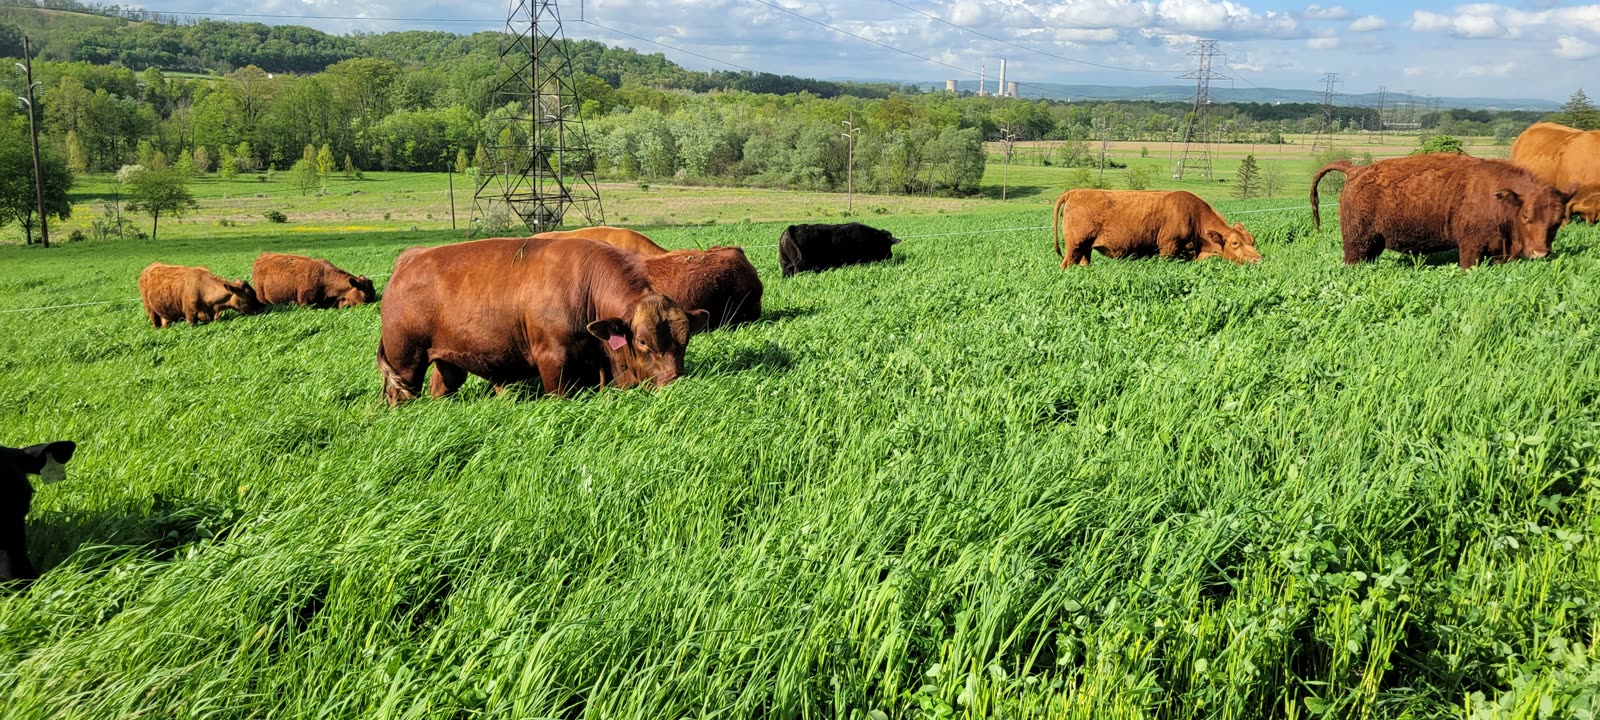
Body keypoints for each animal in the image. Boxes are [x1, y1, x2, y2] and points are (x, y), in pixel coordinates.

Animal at [376, 237, 710, 405]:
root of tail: (409, 260)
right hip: (405, 363)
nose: (673, 382)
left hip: (448, 361)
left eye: (685, 340)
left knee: (442, 389)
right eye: (642, 341)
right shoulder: (553, 360)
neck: (586, 287)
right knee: (399, 395)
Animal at [1052, 189, 1262, 268]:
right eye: (1235, 242)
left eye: (1252, 240)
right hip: (1074, 248)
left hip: (1085, 250)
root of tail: (1074, 192)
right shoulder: (1167, 248)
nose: (1258, 259)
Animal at [1311, 154, 1569, 269]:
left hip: (1374, 242)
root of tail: (1356, 170)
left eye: (1557, 222)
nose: (1540, 253)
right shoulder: (1471, 246)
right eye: (1526, 217)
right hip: (1356, 241)